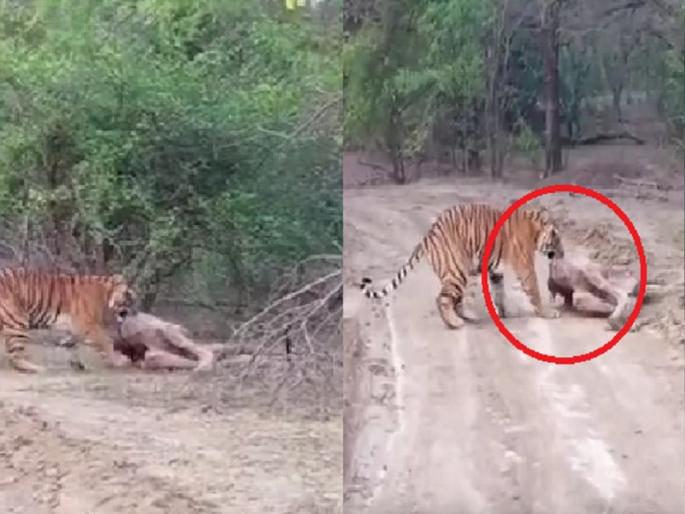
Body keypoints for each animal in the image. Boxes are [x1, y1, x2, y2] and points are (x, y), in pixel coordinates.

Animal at [0, 267, 137, 373]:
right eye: (128, 297)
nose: (131, 312)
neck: (105, 295)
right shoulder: (88, 325)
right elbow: (106, 341)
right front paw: (119, 361)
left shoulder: (75, 328)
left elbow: (73, 344)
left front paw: (76, 363)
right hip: (18, 321)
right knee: (15, 357)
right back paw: (37, 368)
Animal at [359, 203, 564, 329]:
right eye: (557, 239)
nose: (563, 254)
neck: (535, 231)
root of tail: (428, 234)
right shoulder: (525, 266)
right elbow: (534, 290)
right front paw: (547, 313)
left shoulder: (495, 270)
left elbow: (499, 291)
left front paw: (504, 313)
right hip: (457, 270)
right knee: (442, 299)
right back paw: (454, 323)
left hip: (458, 271)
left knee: (455, 299)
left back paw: (468, 316)